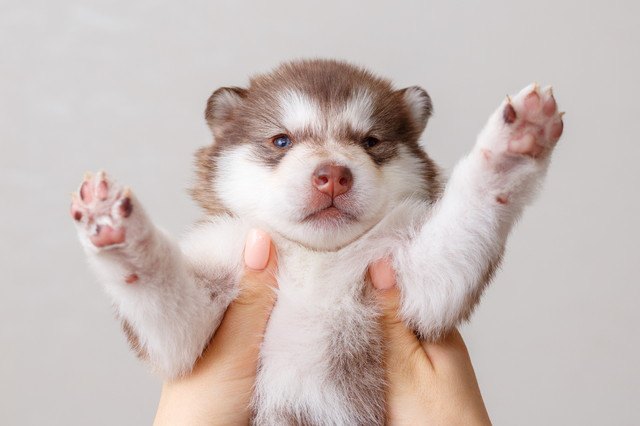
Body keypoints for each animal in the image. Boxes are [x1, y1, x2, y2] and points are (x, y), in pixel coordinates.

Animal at [71, 58, 564, 424]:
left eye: (371, 141)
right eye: (281, 141)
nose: (333, 176)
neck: (316, 260)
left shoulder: (423, 287)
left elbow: (468, 213)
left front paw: (513, 146)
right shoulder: (192, 331)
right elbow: (161, 293)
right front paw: (117, 229)